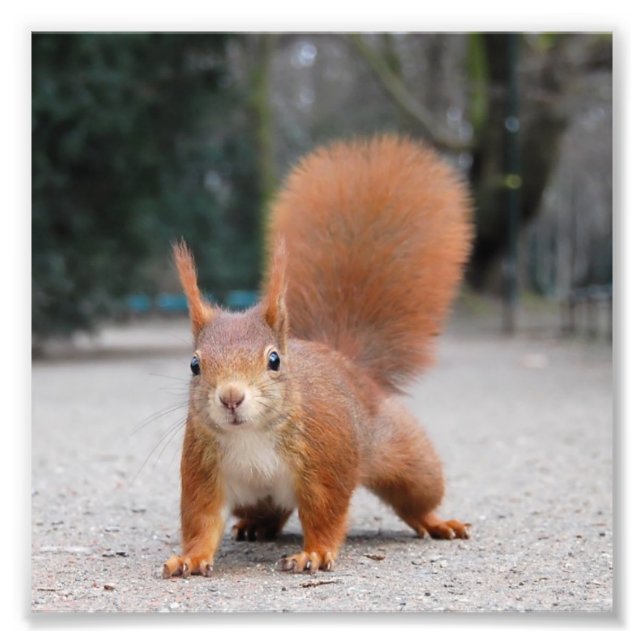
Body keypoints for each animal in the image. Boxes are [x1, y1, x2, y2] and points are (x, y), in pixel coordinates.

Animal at [162, 134, 473, 578]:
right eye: (194, 364)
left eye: (275, 360)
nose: (231, 397)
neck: (251, 435)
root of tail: (348, 363)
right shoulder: (203, 470)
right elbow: (201, 519)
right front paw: (190, 557)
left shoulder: (326, 460)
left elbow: (325, 512)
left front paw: (314, 553)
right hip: (254, 496)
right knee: (271, 510)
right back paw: (256, 526)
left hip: (407, 458)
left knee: (416, 497)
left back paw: (436, 521)